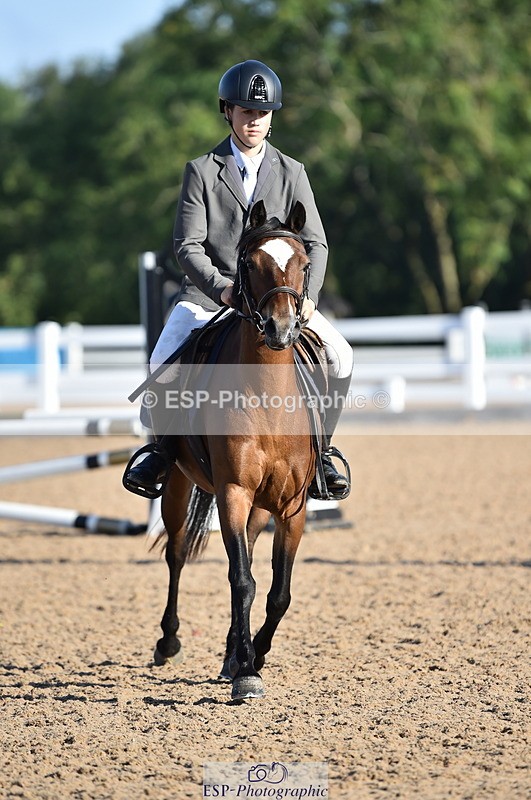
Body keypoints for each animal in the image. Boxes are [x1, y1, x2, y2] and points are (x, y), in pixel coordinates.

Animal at [152, 199, 319, 700]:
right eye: (251, 263)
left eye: (303, 264)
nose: (281, 329)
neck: (267, 395)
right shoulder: (232, 492)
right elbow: (242, 580)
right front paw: (246, 672)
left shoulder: (292, 506)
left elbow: (278, 592)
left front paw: (252, 656)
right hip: (179, 484)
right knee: (177, 552)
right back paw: (170, 641)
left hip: (261, 507)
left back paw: (230, 652)